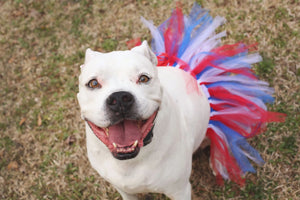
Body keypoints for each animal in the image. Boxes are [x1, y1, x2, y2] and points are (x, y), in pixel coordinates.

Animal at [76, 39, 210, 199]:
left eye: (143, 78)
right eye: (93, 83)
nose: (119, 99)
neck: (129, 162)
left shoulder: (180, 190)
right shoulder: (124, 190)